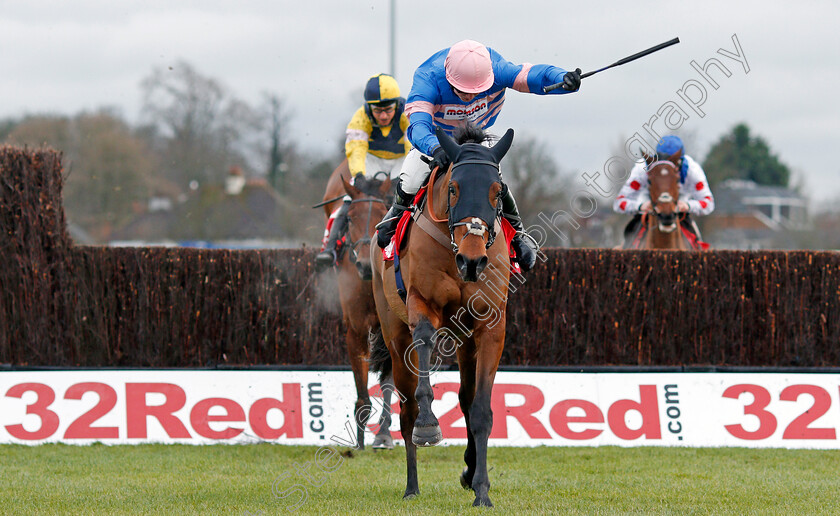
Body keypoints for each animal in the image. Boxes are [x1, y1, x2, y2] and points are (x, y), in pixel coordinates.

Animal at [320, 160, 396, 448]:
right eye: (350, 217)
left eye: (383, 213)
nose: (364, 264)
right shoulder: (355, 329)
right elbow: (361, 385)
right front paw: (360, 437)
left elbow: (389, 382)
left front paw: (383, 432)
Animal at [372, 123, 516, 506]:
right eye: (454, 188)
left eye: (498, 191)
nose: (473, 260)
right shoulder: (422, 306)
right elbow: (424, 343)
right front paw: (429, 425)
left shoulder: (490, 326)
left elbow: (480, 408)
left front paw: (481, 488)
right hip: (394, 334)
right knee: (406, 408)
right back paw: (411, 486)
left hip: (465, 340)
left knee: (465, 398)